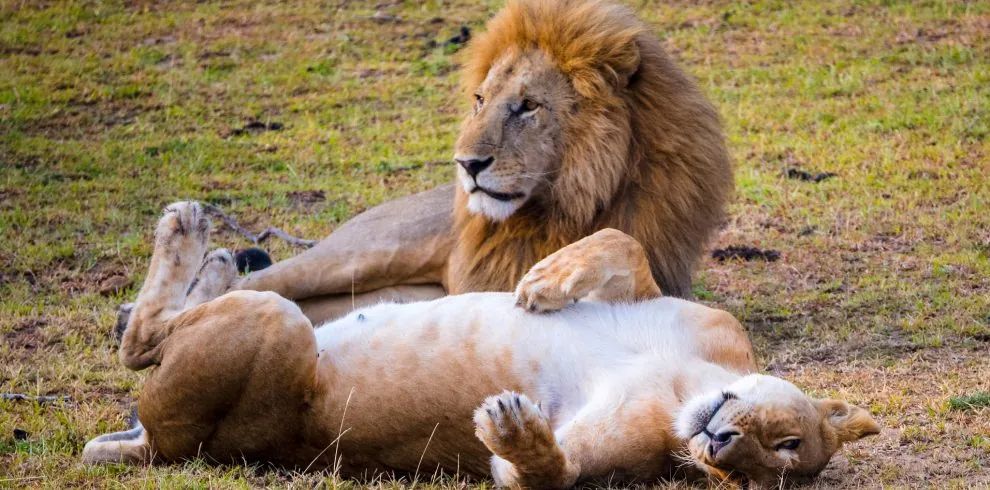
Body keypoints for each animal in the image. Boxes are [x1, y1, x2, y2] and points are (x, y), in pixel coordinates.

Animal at [83, 202, 879, 488]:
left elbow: (547, 473)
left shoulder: (622, 456)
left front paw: (520, 435)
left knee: (142, 345)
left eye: (767, 470)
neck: (688, 383)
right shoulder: (681, 310)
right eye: (786, 441)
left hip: (272, 327)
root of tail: (161, 446)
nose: (720, 446)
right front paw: (545, 283)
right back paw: (203, 245)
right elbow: (620, 242)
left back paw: (195, 243)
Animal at [225, 0, 732, 323]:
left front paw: (553, 275)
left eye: (527, 106)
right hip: (358, 254)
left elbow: (623, 242)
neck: (565, 207)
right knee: (239, 287)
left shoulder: (666, 285)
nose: (466, 164)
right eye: (480, 100)